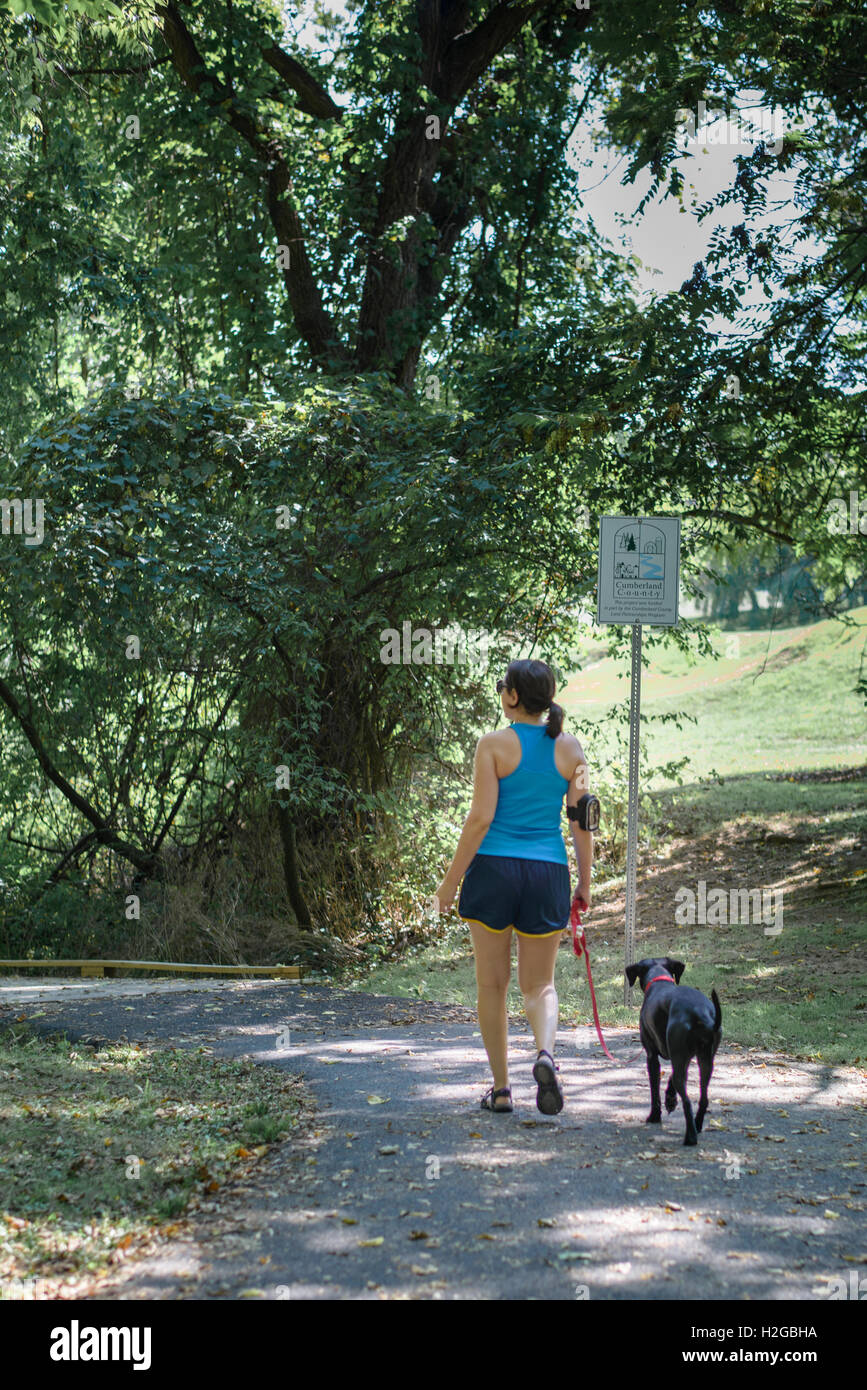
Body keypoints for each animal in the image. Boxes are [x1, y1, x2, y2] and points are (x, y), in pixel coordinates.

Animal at [625, 961, 722, 1145]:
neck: (659, 979)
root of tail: (700, 1013)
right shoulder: (684, 1057)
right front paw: (670, 1098)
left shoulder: (652, 1056)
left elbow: (654, 1090)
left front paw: (654, 1116)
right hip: (706, 1062)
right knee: (703, 1099)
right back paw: (697, 1125)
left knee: (687, 1102)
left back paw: (690, 1137)